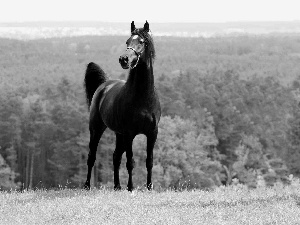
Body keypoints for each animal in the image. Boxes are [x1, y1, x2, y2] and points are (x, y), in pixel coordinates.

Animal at [83, 21, 161, 191]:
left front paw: (149, 187)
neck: (143, 99)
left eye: (142, 42)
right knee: (92, 156)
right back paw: (86, 185)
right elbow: (130, 162)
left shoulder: (152, 133)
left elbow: (149, 161)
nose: (124, 59)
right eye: (127, 41)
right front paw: (130, 187)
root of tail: (104, 84)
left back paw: (117, 186)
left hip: (119, 134)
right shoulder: (130, 133)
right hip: (96, 129)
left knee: (116, 156)